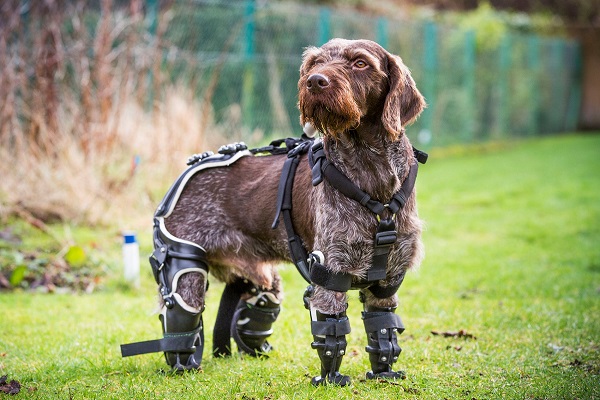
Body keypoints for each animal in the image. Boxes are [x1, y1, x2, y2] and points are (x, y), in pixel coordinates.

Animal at [149, 38, 424, 384]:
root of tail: (185, 174)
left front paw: (384, 374)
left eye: (360, 63)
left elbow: (383, 332)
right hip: (184, 266)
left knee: (262, 300)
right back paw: (184, 365)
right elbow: (332, 338)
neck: (372, 174)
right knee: (182, 314)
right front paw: (330, 381)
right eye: (315, 63)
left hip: (256, 271)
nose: (315, 82)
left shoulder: (388, 279)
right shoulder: (330, 274)